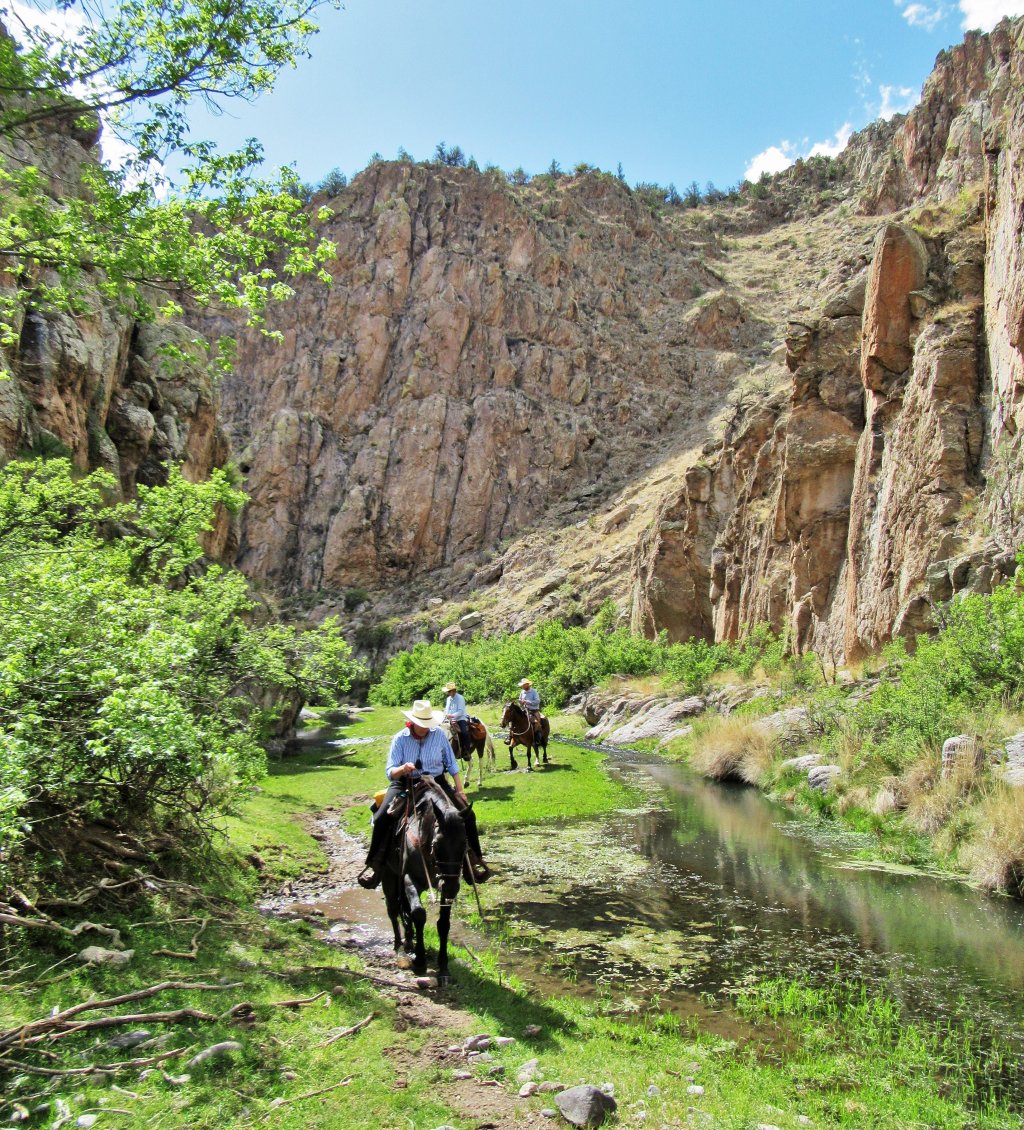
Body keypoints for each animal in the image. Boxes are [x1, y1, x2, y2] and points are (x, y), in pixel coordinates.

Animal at [379, 777, 467, 980]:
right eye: (437, 844)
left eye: (465, 844)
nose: (452, 887)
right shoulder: (409, 878)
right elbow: (418, 914)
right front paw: (420, 961)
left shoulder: (444, 887)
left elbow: (443, 923)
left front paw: (443, 966)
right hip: (389, 876)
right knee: (393, 909)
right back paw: (399, 946)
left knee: (403, 909)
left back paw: (408, 942)